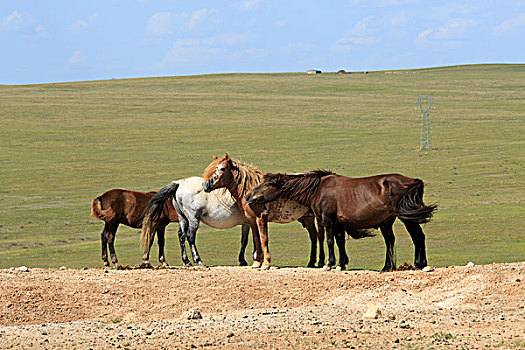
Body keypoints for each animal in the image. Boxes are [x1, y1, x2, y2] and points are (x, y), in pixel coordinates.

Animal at [244, 171, 436, 272]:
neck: (318, 190)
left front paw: (329, 264)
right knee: (394, 240)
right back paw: (390, 266)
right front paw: (341, 264)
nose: (248, 196)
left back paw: (419, 264)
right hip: (389, 221)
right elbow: (340, 242)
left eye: (266, 184)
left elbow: (330, 241)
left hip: (406, 217)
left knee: (418, 237)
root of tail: (413, 181)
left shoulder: (328, 220)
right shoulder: (338, 224)